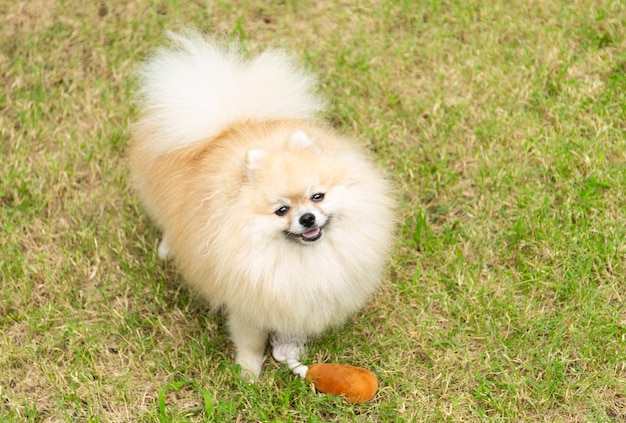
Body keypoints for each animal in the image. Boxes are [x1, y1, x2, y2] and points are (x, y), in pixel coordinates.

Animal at [129, 31, 392, 380]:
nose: (307, 218)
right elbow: (250, 341)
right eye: (282, 210)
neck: (300, 258)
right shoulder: (247, 304)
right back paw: (168, 248)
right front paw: (248, 374)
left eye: (317, 197)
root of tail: (227, 124)